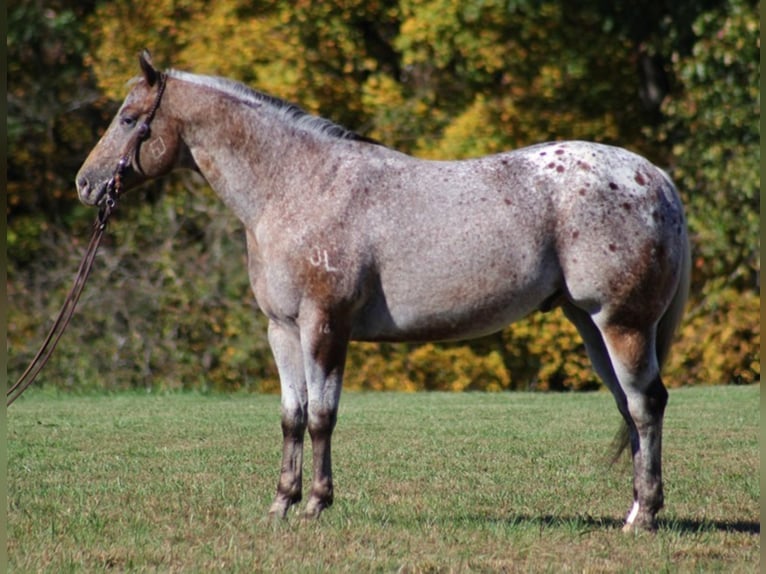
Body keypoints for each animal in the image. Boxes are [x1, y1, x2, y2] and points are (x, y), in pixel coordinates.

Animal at [76, 51, 688, 532]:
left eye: (129, 118)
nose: (86, 184)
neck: (297, 186)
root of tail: (654, 177)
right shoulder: (282, 330)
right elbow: (292, 416)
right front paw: (281, 504)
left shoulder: (325, 324)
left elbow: (323, 416)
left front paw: (316, 505)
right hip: (592, 326)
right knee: (630, 407)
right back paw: (633, 510)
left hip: (623, 324)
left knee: (646, 404)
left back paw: (644, 517)